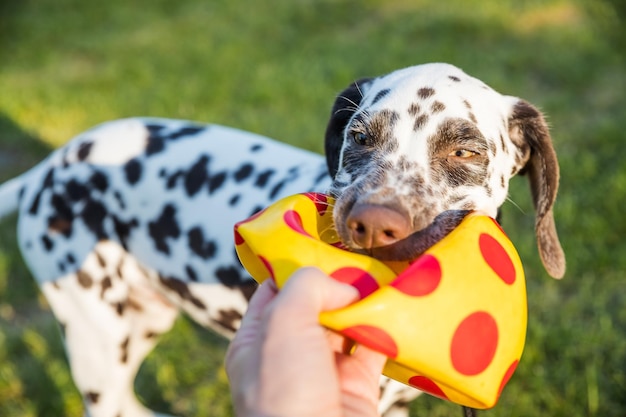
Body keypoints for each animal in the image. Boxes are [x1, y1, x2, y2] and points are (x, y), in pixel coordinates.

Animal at [0, 61, 564, 416]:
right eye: (359, 136)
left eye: (465, 151)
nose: (371, 223)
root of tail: (51, 166)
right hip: (96, 340)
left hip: (142, 322)